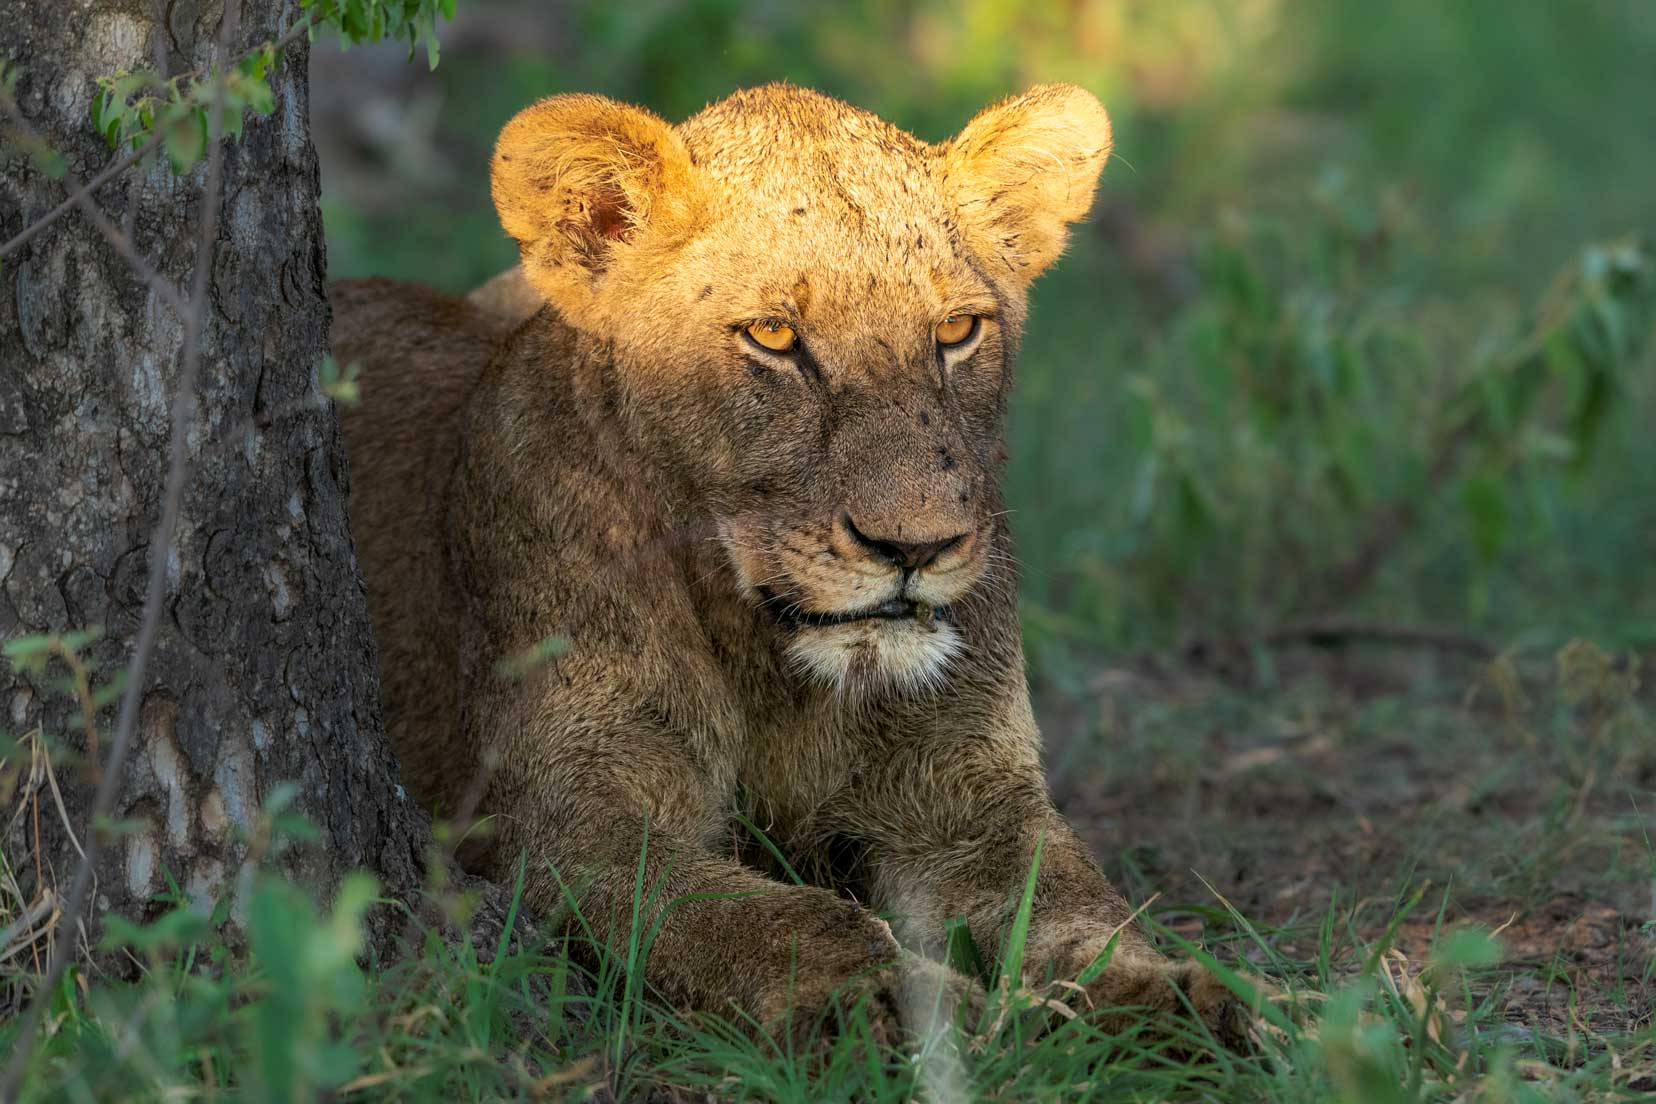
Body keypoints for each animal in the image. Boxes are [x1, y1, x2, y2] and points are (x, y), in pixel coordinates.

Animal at [329, 81, 1245, 1052]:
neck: (770, 665)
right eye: (773, 335)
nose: (915, 547)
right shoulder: (575, 831)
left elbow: (1075, 900)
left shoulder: (968, 794)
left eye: (957, 330)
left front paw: (1168, 999)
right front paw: (900, 1005)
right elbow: (778, 919)